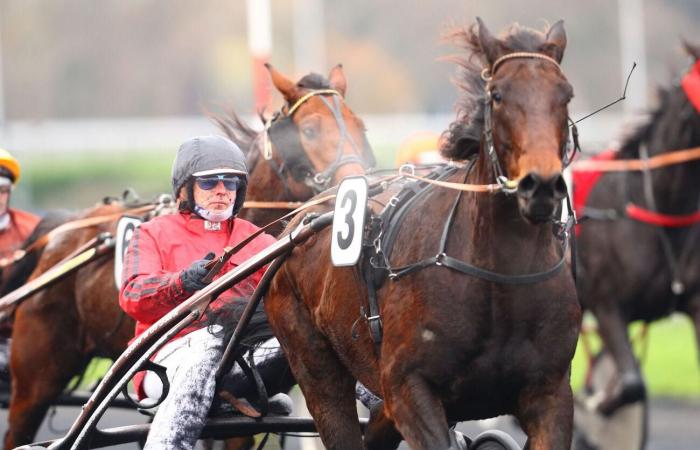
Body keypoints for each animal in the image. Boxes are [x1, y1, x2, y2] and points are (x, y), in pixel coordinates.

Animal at [262, 18, 580, 450]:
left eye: (566, 94)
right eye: (497, 95)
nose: (541, 185)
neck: (499, 279)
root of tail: (296, 225)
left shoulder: (550, 393)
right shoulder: (409, 388)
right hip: (313, 360)